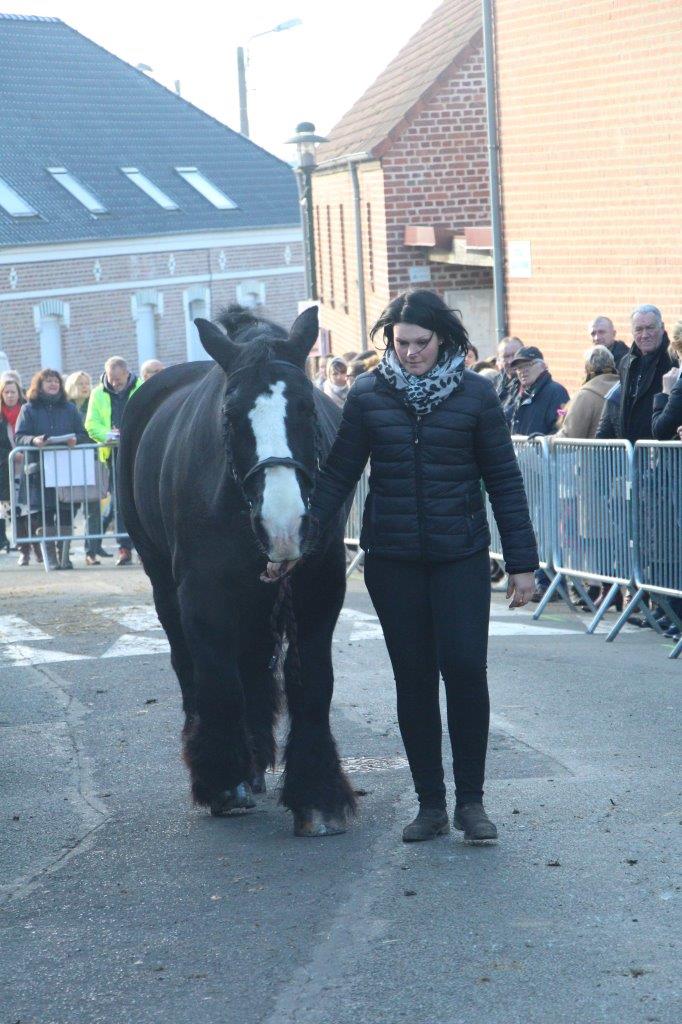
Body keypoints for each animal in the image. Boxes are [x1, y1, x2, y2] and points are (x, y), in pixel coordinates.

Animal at [118, 301, 356, 831]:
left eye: (306, 407)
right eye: (229, 414)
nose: (283, 524)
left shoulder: (319, 584)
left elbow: (313, 681)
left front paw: (316, 794)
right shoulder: (201, 592)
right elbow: (217, 680)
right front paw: (224, 781)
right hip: (162, 581)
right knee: (190, 668)